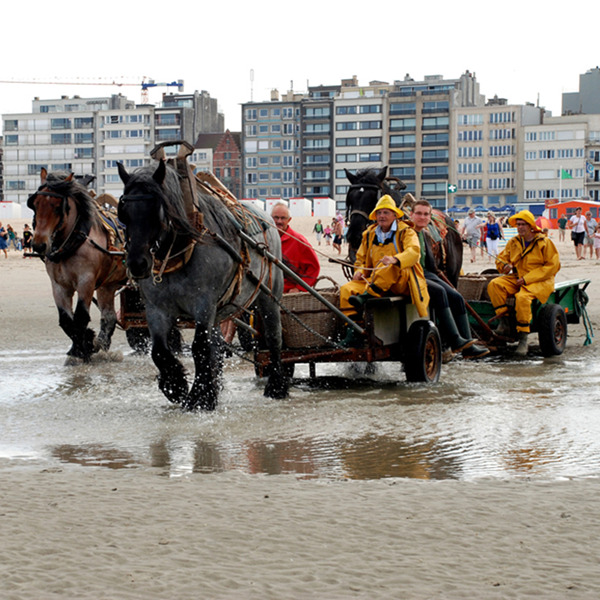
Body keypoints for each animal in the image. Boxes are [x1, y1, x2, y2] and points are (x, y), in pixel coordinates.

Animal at [28, 168, 127, 360]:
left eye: (57, 207)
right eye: (35, 204)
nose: (39, 245)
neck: (72, 243)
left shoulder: (86, 281)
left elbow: (80, 317)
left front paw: (84, 347)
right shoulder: (59, 285)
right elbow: (66, 320)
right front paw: (82, 345)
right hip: (108, 285)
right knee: (109, 317)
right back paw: (102, 343)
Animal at [116, 158, 288, 412]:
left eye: (157, 210)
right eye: (123, 214)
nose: (137, 263)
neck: (178, 251)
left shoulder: (204, 304)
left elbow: (200, 347)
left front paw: (201, 396)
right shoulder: (157, 308)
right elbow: (160, 351)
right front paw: (176, 386)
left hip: (268, 295)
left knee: (274, 336)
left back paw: (276, 386)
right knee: (216, 344)